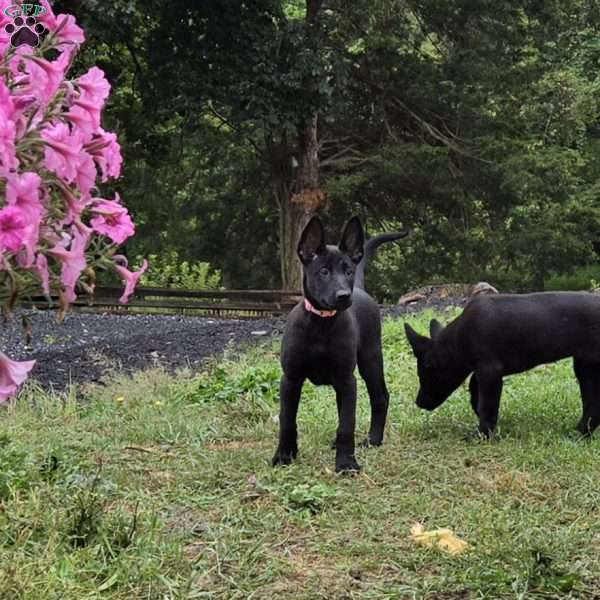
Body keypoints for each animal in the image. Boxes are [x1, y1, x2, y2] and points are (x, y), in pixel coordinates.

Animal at [274, 217, 408, 474]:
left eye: (348, 271)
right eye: (324, 271)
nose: (344, 296)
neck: (321, 323)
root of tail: (361, 290)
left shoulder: (347, 379)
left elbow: (346, 424)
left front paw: (346, 463)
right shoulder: (291, 379)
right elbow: (287, 421)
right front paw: (284, 456)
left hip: (370, 359)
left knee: (380, 396)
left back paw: (373, 440)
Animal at [404, 290, 600, 436]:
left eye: (425, 373)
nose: (418, 402)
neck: (458, 339)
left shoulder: (489, 370)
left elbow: (487, 404)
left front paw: (483, 433)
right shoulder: (485, 370)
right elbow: (475, 387)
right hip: (585, 366)